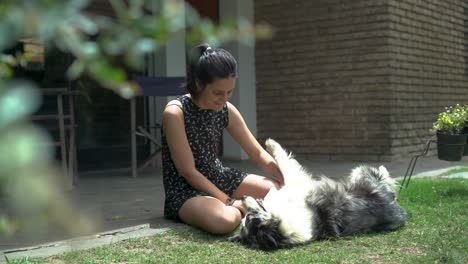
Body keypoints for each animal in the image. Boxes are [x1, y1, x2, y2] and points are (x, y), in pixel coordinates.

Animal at [229, 139, 406, 251]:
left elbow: (283, 164)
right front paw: (271, 144)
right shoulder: (297, 183)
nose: (242, 198)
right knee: (379, 174)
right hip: (363, 174)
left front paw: (269, 143)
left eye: (248, 215)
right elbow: (284, 162)